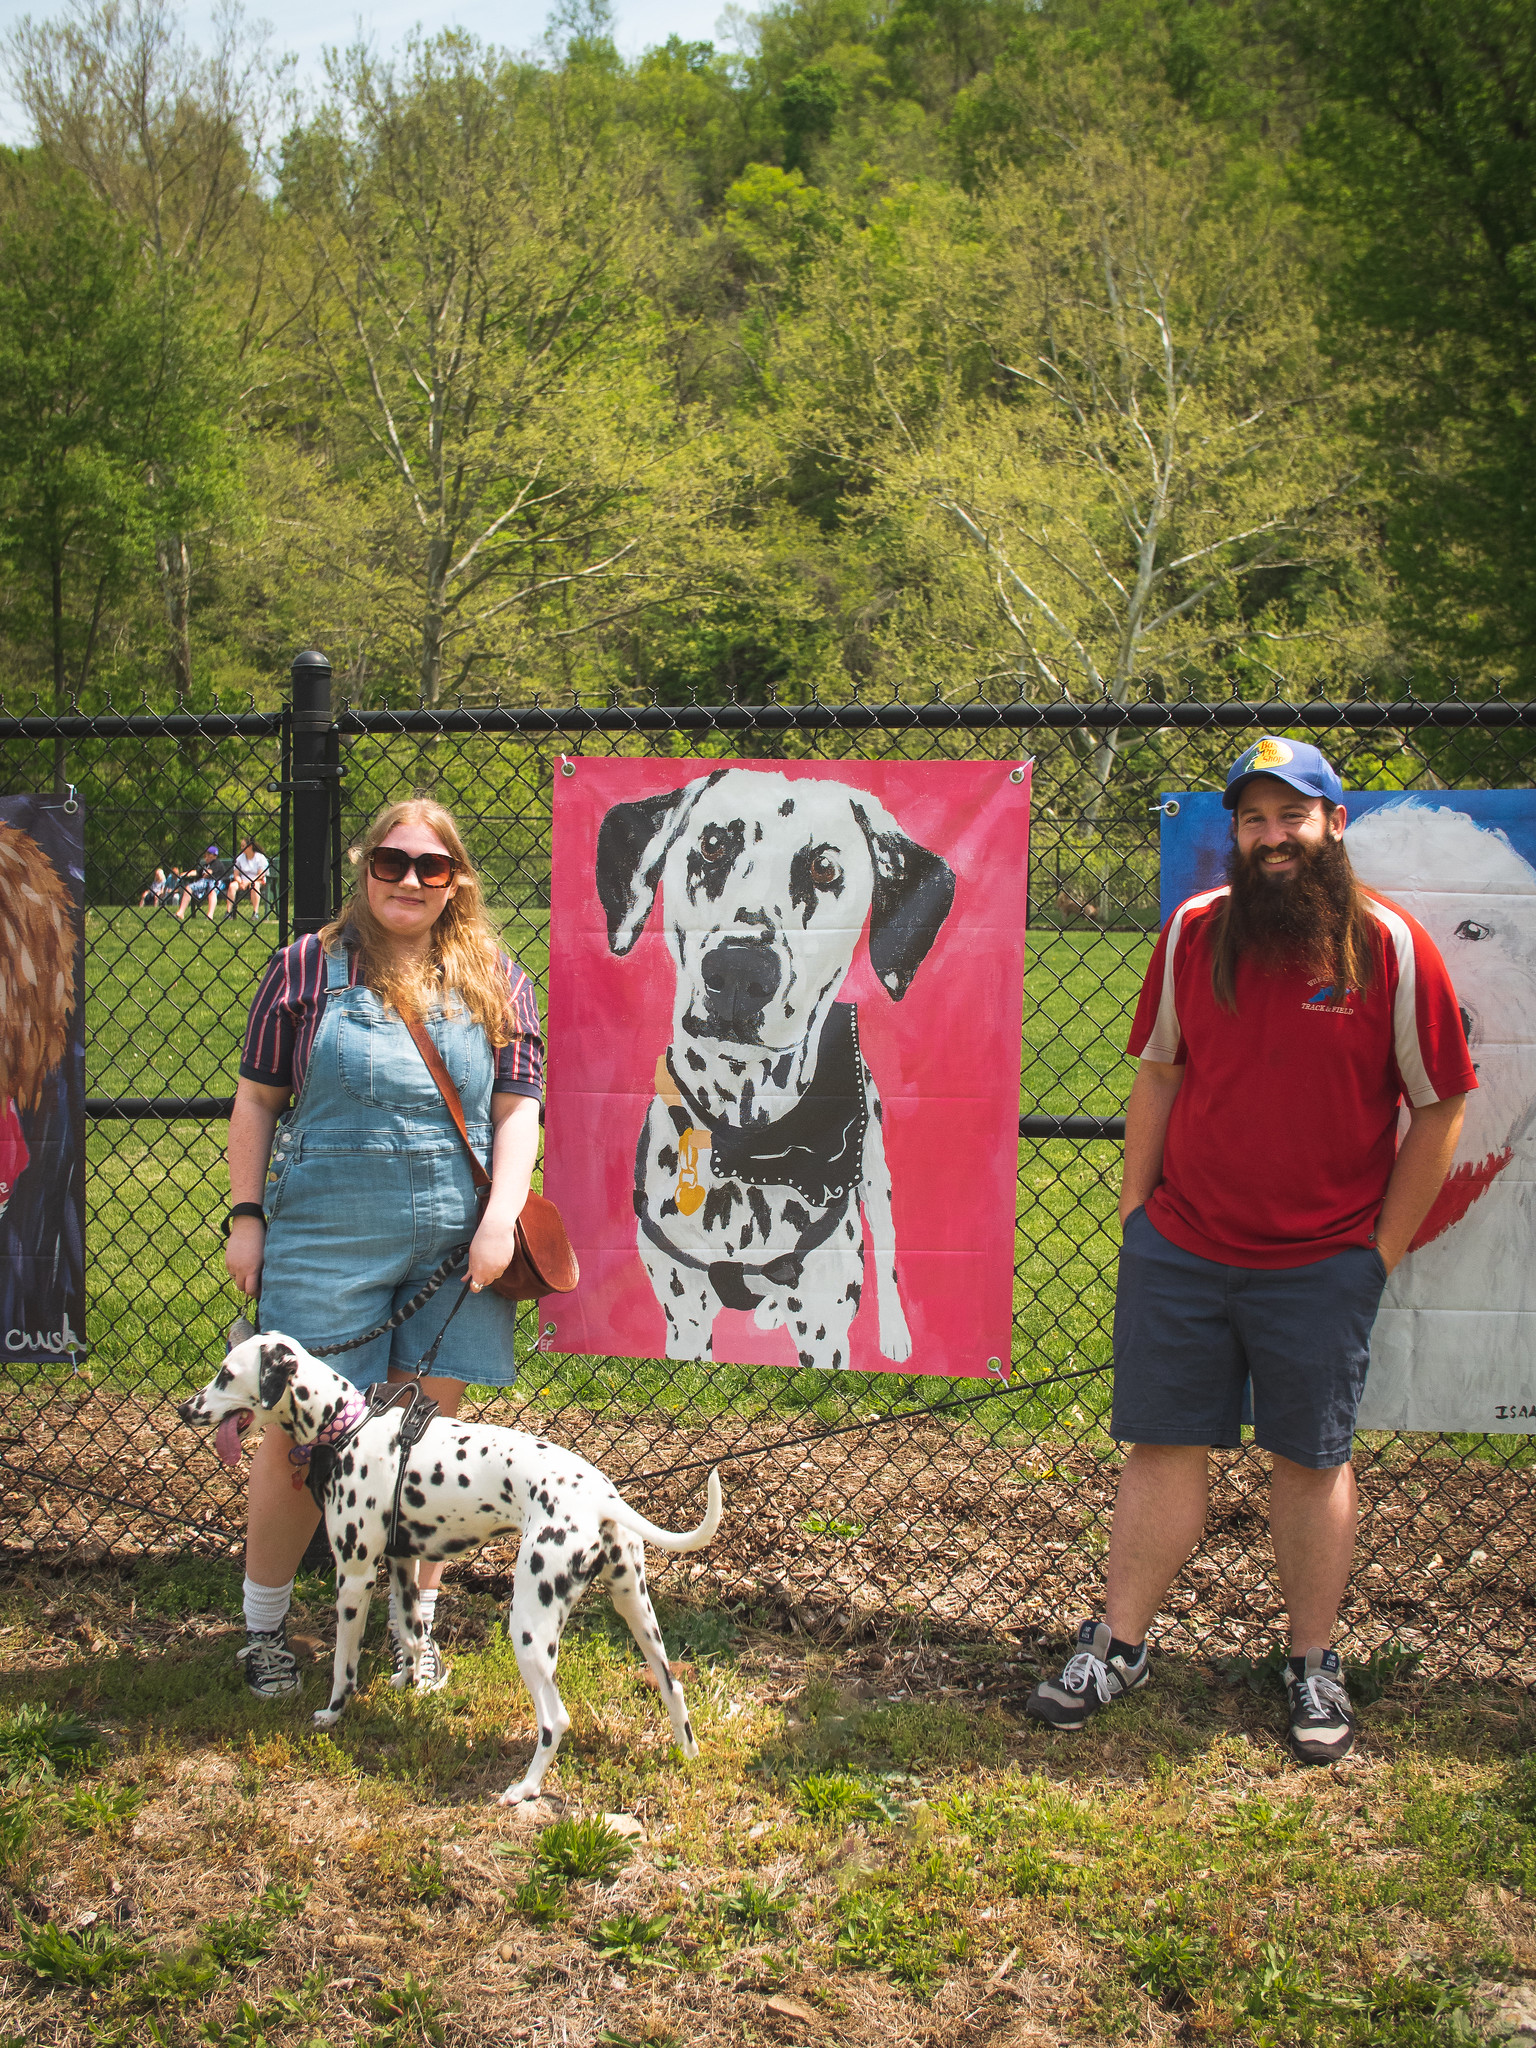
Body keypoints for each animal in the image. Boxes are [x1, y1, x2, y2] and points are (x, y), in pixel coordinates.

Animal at [183, 1335, 724, 1802]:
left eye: (225, 1374)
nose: (185, 1409)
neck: (348, 1426)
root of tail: (600, 1493)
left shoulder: (354, 1579)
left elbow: (344, 1666)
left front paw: (333, 1714)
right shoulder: (403, 1565)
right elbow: (411, 1632)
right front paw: (409, 1684)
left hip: (529, 1629)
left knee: (556, 1721)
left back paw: (524, 1789)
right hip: (637, 1611)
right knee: (672, 1687)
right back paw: (687, 1754)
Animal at [598, 770, 950, 1376]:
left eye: (824, 868)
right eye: (714, 845)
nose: (739, 971)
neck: (745, 1142)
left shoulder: (825, 1328)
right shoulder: (684, 1319)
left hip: (876, 1173)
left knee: (888, 1243)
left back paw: (896, 1336)